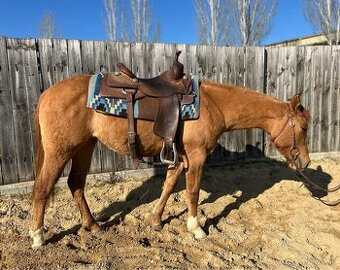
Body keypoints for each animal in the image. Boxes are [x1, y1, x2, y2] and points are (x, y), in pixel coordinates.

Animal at [29, 75, 310, 248]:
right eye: (304, 127)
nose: (306, 163)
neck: (214, 105)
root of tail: (46, 94)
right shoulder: (197, 156)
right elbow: (193, 192)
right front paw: (196, 228)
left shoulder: (180, 157)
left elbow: (168, 186)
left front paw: (155, 219)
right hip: (60, 152)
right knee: (43, 188)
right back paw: (37, 236)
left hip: (85, 147)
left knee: (76, 184)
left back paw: (93, 225)